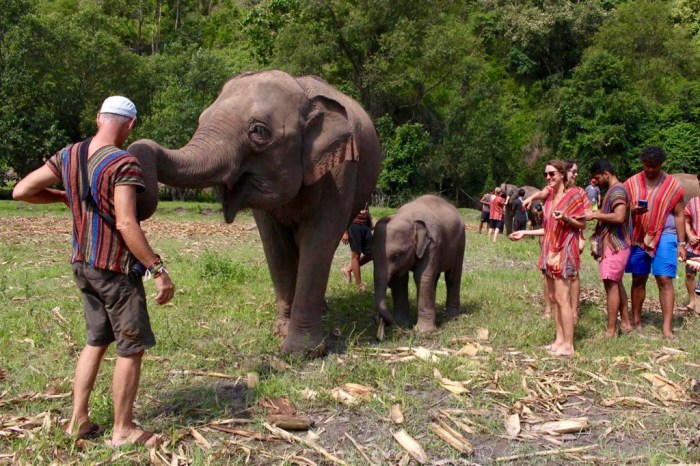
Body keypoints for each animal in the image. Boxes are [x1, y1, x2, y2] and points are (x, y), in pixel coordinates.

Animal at [128, 70, 382, 355]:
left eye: (258, 131)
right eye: (201, 119)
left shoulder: (339, 172)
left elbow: (319, 241)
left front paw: (300, 352)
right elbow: (275, 246)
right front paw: (281, 333)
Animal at [372, 195, 466, 333]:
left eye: (396, 255)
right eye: (370, 254)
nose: (378, 320)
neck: (408, 217)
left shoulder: (433, 243)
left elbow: (422, 277)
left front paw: (423, 332)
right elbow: (400, 280)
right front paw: (401, 325)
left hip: (460, 243)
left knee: (452, 277)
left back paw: (451, 316)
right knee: (435, 277)